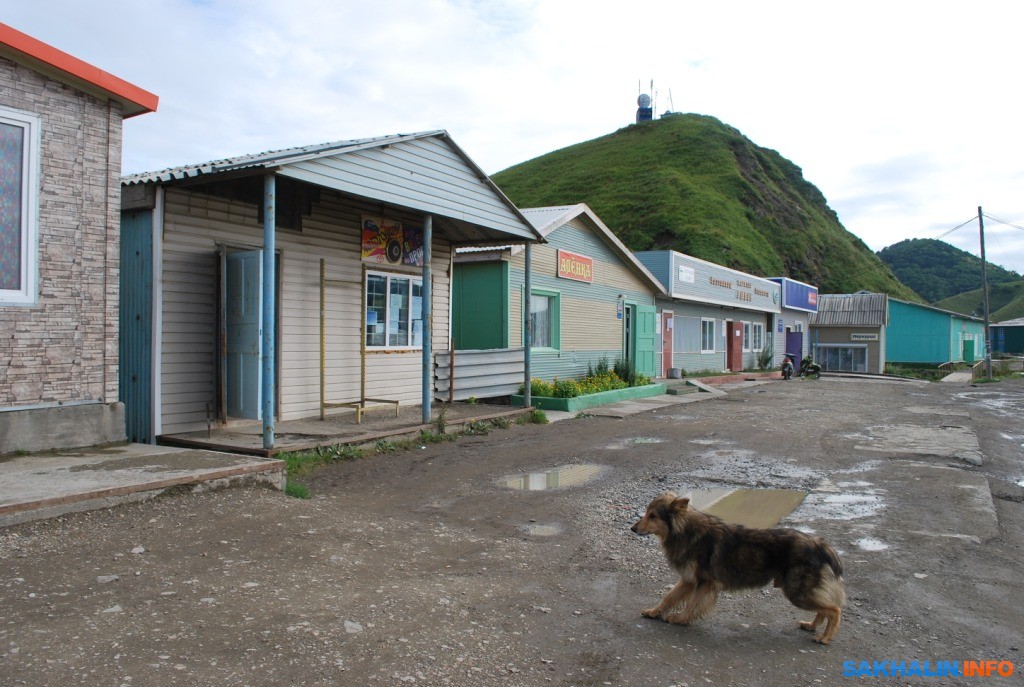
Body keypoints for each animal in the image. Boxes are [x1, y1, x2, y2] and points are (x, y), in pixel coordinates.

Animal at [630, 489, 847, 647]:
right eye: (647, 513)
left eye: (653, 516)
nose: (632, 528)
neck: (686, 531)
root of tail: (817, 542)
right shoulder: (688, 580)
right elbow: (669, 597)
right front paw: (655, 612)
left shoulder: (704, 582)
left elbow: (692, 603)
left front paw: (681, 619)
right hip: (802, 592)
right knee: (824, 609)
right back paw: (811, 626)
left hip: (797, 592)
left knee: (834, 610)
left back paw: (825, 638)